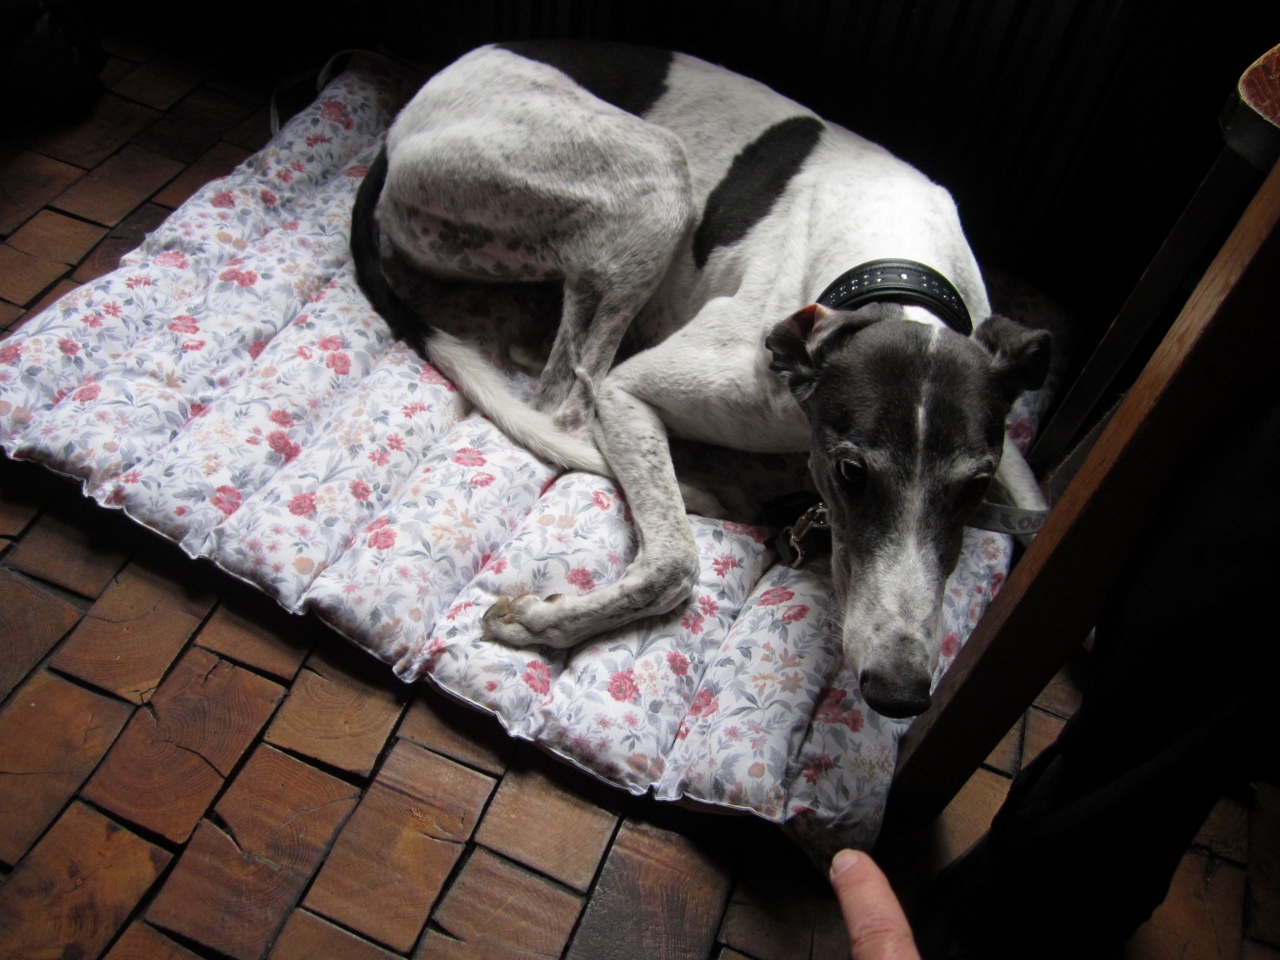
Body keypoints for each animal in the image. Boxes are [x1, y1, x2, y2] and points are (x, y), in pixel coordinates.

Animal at [351, 40, 1051, 719]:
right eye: (851, 472)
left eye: (975, 485)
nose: (899, 693)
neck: (895, 276)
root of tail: (399, 124)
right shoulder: (632, 390)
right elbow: (674, 562)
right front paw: (538, 620)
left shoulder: (1013, 461)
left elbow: (1036, 509)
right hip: (653, 180)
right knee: (564, 403)